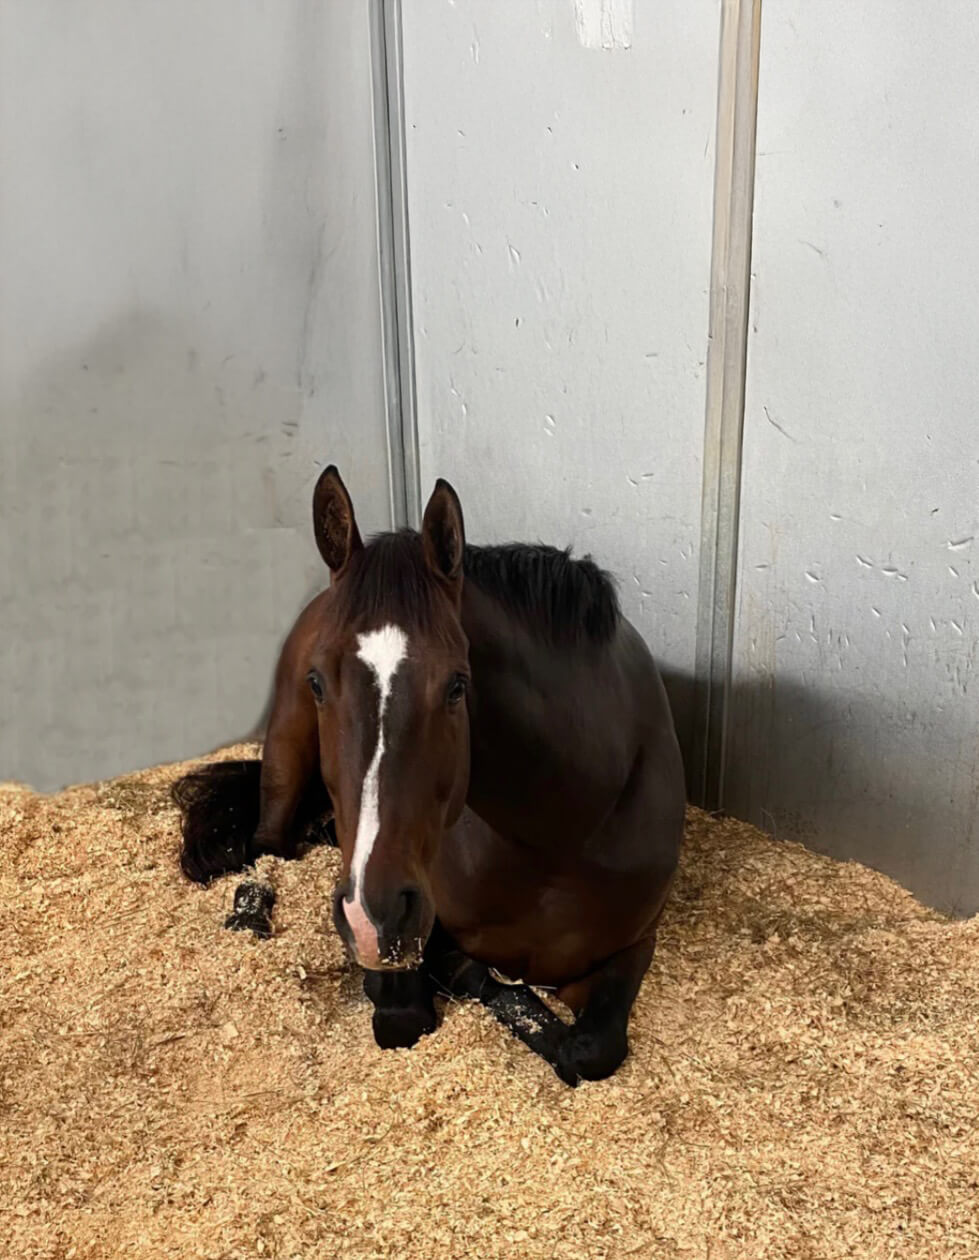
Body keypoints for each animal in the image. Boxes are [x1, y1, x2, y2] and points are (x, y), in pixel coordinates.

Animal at [174, 466, 685, 1085]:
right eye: (318, 682)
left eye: (457, 686)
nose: (375, 916)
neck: (562, 834)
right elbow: (408, 1016)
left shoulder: (631, 948)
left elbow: (589, 1051)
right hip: (285, 761)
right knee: (266, 852)